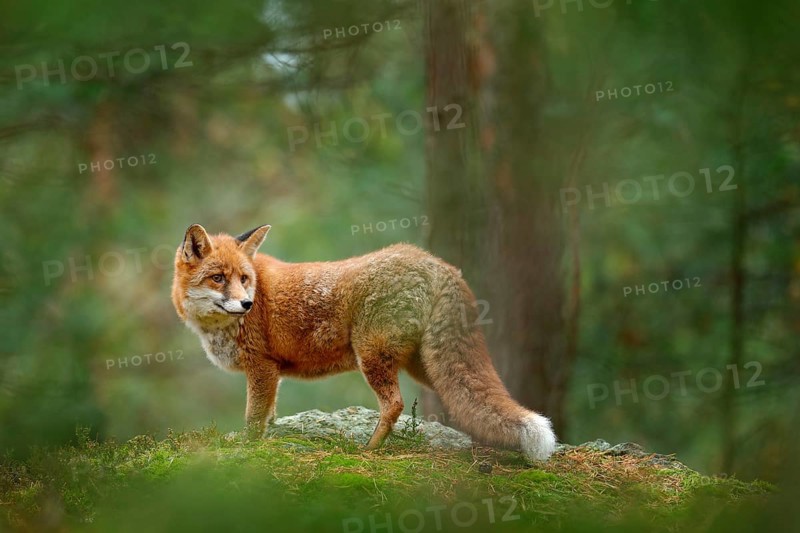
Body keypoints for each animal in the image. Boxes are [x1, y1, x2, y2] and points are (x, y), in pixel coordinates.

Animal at [171, 223, 557, 461]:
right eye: (218, 278)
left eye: (244, 278)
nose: (247, 304)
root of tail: (437, 263)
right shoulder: (271, 374)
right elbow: (269, 417)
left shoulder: (262, 368)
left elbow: (254, 420)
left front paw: (248, 451)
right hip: (425, 366)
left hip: (372, 356)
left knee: (395, 405)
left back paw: (371, 449)